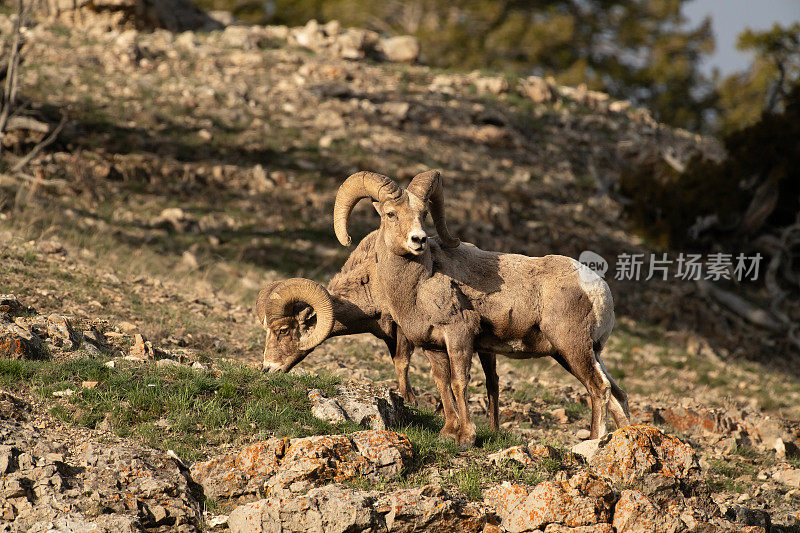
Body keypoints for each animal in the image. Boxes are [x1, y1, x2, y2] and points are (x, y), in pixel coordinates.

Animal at [332, 169, 632, 444]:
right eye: (391, 214)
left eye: (423, 214)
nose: (418, 240)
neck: (419, 284)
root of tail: (598, 289)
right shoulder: (433, 346)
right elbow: (442, 383)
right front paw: (447, 432)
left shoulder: (459, 336)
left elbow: (458, 382)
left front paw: (466, 436)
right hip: (584, 353)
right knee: (617, 394)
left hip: (573, 348)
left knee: (599, 389)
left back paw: (593, 442)